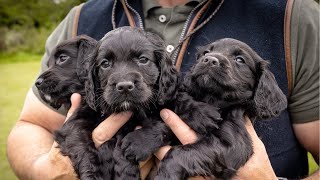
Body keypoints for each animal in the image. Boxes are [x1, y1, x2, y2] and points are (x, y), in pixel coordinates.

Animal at [55, 27, 180, 180]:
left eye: (143, 60)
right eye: (105, 63)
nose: (124, 86)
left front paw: (137, 143)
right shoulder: (75, 122)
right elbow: (81, 145)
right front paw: (92, 174)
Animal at [155, 38, 288, 179]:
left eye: (240, 60)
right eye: (206, 52)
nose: (209, 60)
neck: (213, 100)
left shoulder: (234, 145)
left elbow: (180, 152)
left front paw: (165, 175)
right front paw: (201, 114)